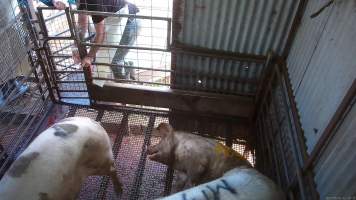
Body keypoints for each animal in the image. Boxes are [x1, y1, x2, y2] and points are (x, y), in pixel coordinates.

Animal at [147, 122, 284, 199]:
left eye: (160, 140)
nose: (148, 148)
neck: (177, 159)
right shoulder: (182, 171)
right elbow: (179, 182)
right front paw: (173, 191)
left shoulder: (198, 160)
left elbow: (193, 178)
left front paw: (188, 187)